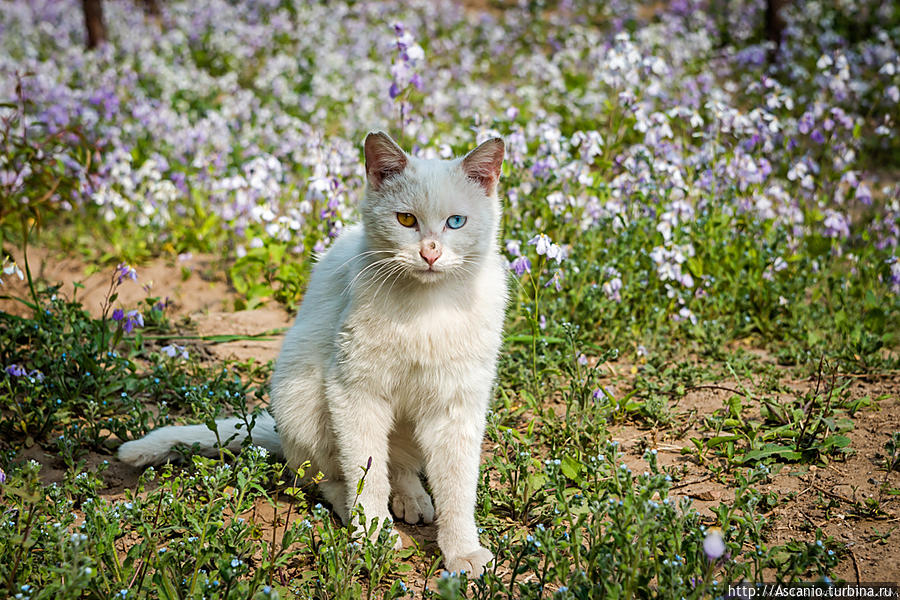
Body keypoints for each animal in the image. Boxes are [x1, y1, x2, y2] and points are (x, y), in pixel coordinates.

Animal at [120, 132, 510, 576]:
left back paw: (412, 499)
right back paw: (364, 514)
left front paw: (463, 552)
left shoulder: (456, 406)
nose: (430, 254)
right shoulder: (355, 393)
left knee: (400, 466)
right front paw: (374, 537)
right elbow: (366, 476)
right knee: (327, 478)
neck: (428, 307)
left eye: (455, 223)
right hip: (304, 400)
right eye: (406, 221)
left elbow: (458, 487)